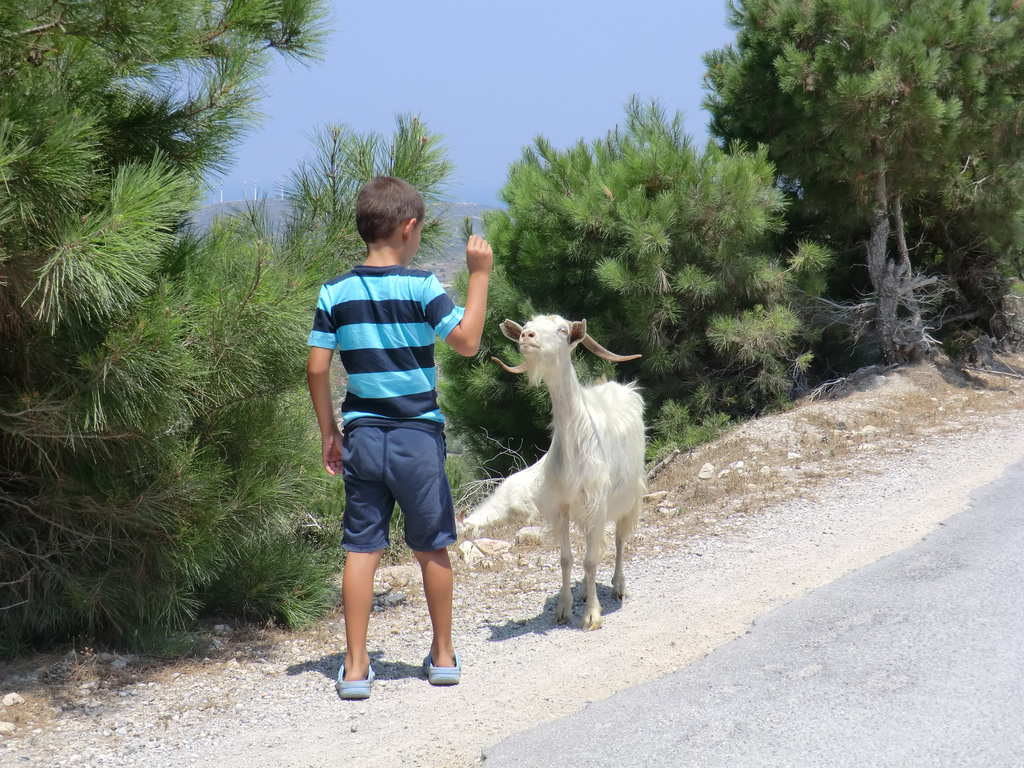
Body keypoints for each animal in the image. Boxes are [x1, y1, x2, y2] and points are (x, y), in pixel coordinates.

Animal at [466, 315, 643, 626]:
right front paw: (563, 608)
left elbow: (591, 559)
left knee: (621, 539)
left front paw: (591, 615)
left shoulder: (597, 503)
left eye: (562, 330)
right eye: (527, 325)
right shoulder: (561, 506)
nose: (526, 335)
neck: (578, 440)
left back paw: (618, 586)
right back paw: (584, 591)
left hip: (630, 496)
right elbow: (566, 559)